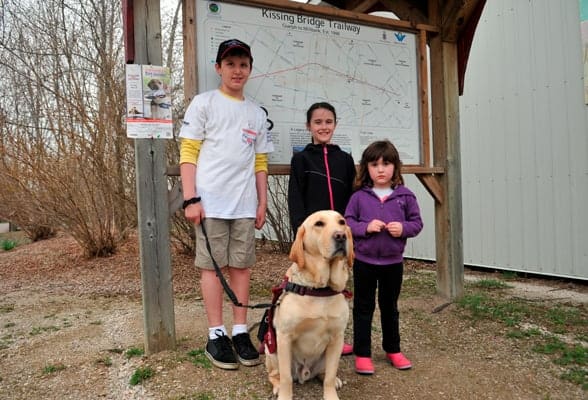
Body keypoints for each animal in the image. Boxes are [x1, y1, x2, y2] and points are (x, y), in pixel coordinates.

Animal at [266, 209, 354, 400]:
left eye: (342, 222)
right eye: (319, 224)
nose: (341, 236)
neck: (320, 289)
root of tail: (304, 373)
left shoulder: (337, 338)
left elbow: (329, 377)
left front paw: (331, 395)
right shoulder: (284, 337)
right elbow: (286, 378)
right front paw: (284, 395)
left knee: (325, 373)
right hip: (272, 350)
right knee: (276, 375)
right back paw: (277, 386)